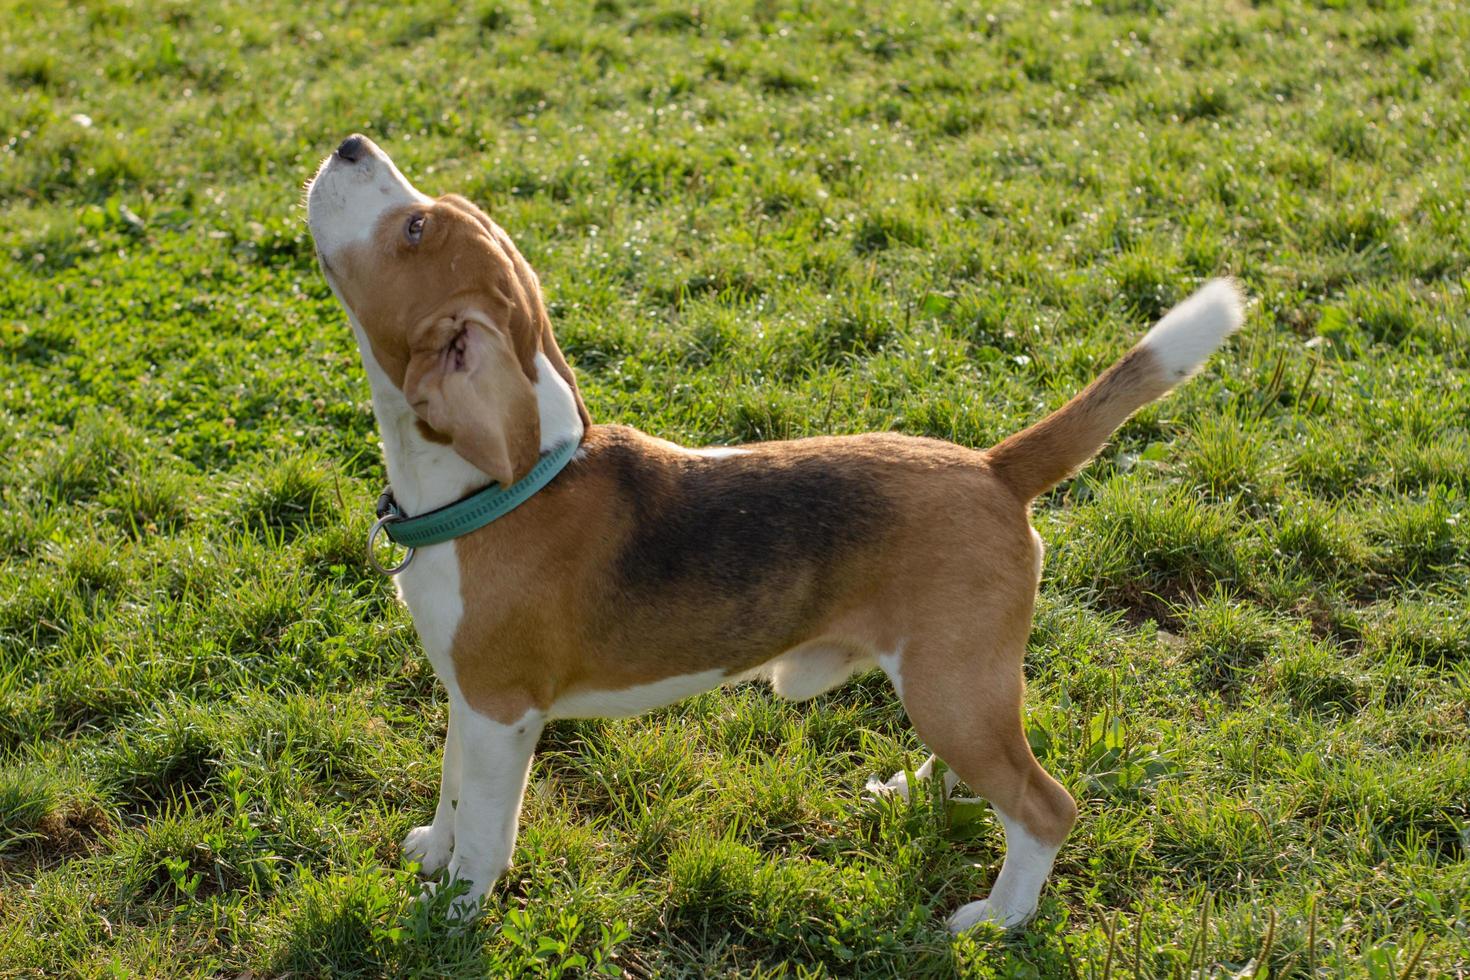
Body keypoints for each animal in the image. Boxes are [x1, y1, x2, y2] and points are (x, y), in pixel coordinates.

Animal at [304, 134, 1246, 934]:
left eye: (414, 227)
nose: (349, 145)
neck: (486, 493)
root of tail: (992, 465)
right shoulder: (467, 700)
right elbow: (452, 787)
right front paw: (432, 852)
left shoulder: (503, 714)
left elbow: (485, 833)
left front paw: (452, 914)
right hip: (957, 686)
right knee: (990, 775)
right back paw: (912, 795)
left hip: (952, 686)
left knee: (1045, 807)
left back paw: (998, 918)